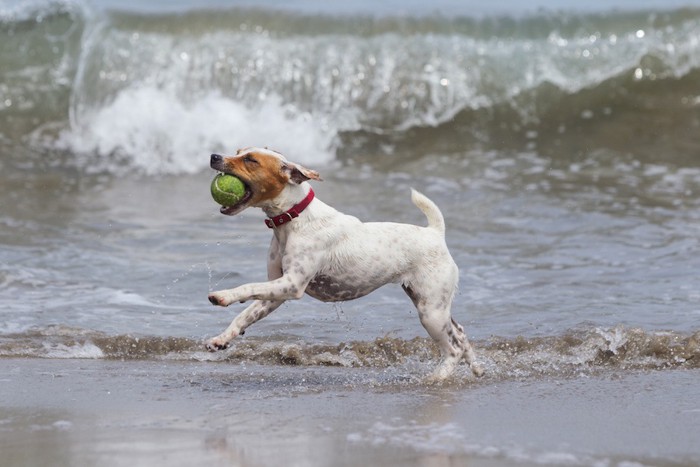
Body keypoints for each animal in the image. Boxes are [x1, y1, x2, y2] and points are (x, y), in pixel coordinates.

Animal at [205, 148, 484, 382]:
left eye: (250, 160)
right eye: (239, 151)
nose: (214, 156)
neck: (295, 218)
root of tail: (435, 233)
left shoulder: (292, 285)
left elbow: (248, 287)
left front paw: (223, 295)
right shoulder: (277, 291)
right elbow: (244, 315)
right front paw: (221, 338)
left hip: (430, 312)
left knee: (453, 349)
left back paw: (437, 378)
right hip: (431, 303)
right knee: (460, 333)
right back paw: (477, 368)